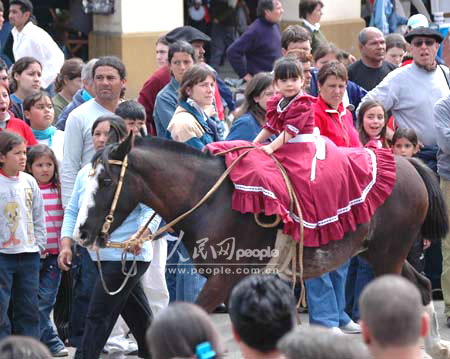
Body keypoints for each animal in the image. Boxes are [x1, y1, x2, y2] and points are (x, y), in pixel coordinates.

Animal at [77, 135, 450, 359]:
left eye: (106, 181)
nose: (81, 231)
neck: (208, 198)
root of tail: (407, 163)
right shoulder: (233, 282)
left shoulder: (223, 279)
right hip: (381, 251)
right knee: (422, 285)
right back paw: (433, 345)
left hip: (389, 253)